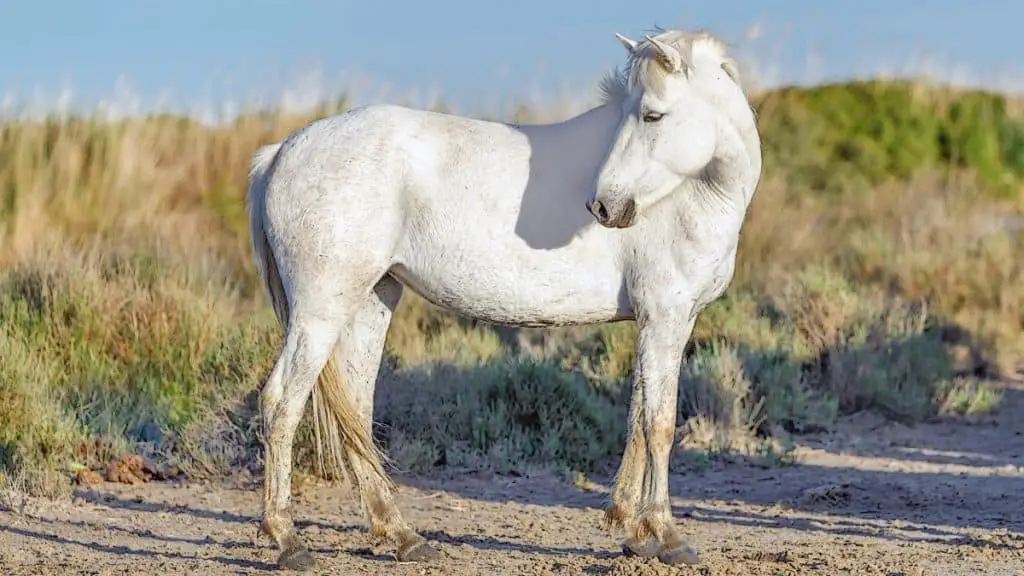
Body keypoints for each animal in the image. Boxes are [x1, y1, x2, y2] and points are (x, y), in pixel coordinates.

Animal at [245, 28, 761, 569]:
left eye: (651, 115)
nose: (604, 206)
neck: (693, 192)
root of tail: (279, 152)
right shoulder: (666, 315)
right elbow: (659, 425)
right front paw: (668, 536)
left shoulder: (658, 320)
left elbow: (639, 420)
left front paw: (636, 533)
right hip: (320, 310)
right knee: (282, 402)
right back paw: (287, 539)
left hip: (370, 300)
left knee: (358, 416)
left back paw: (403, 537)